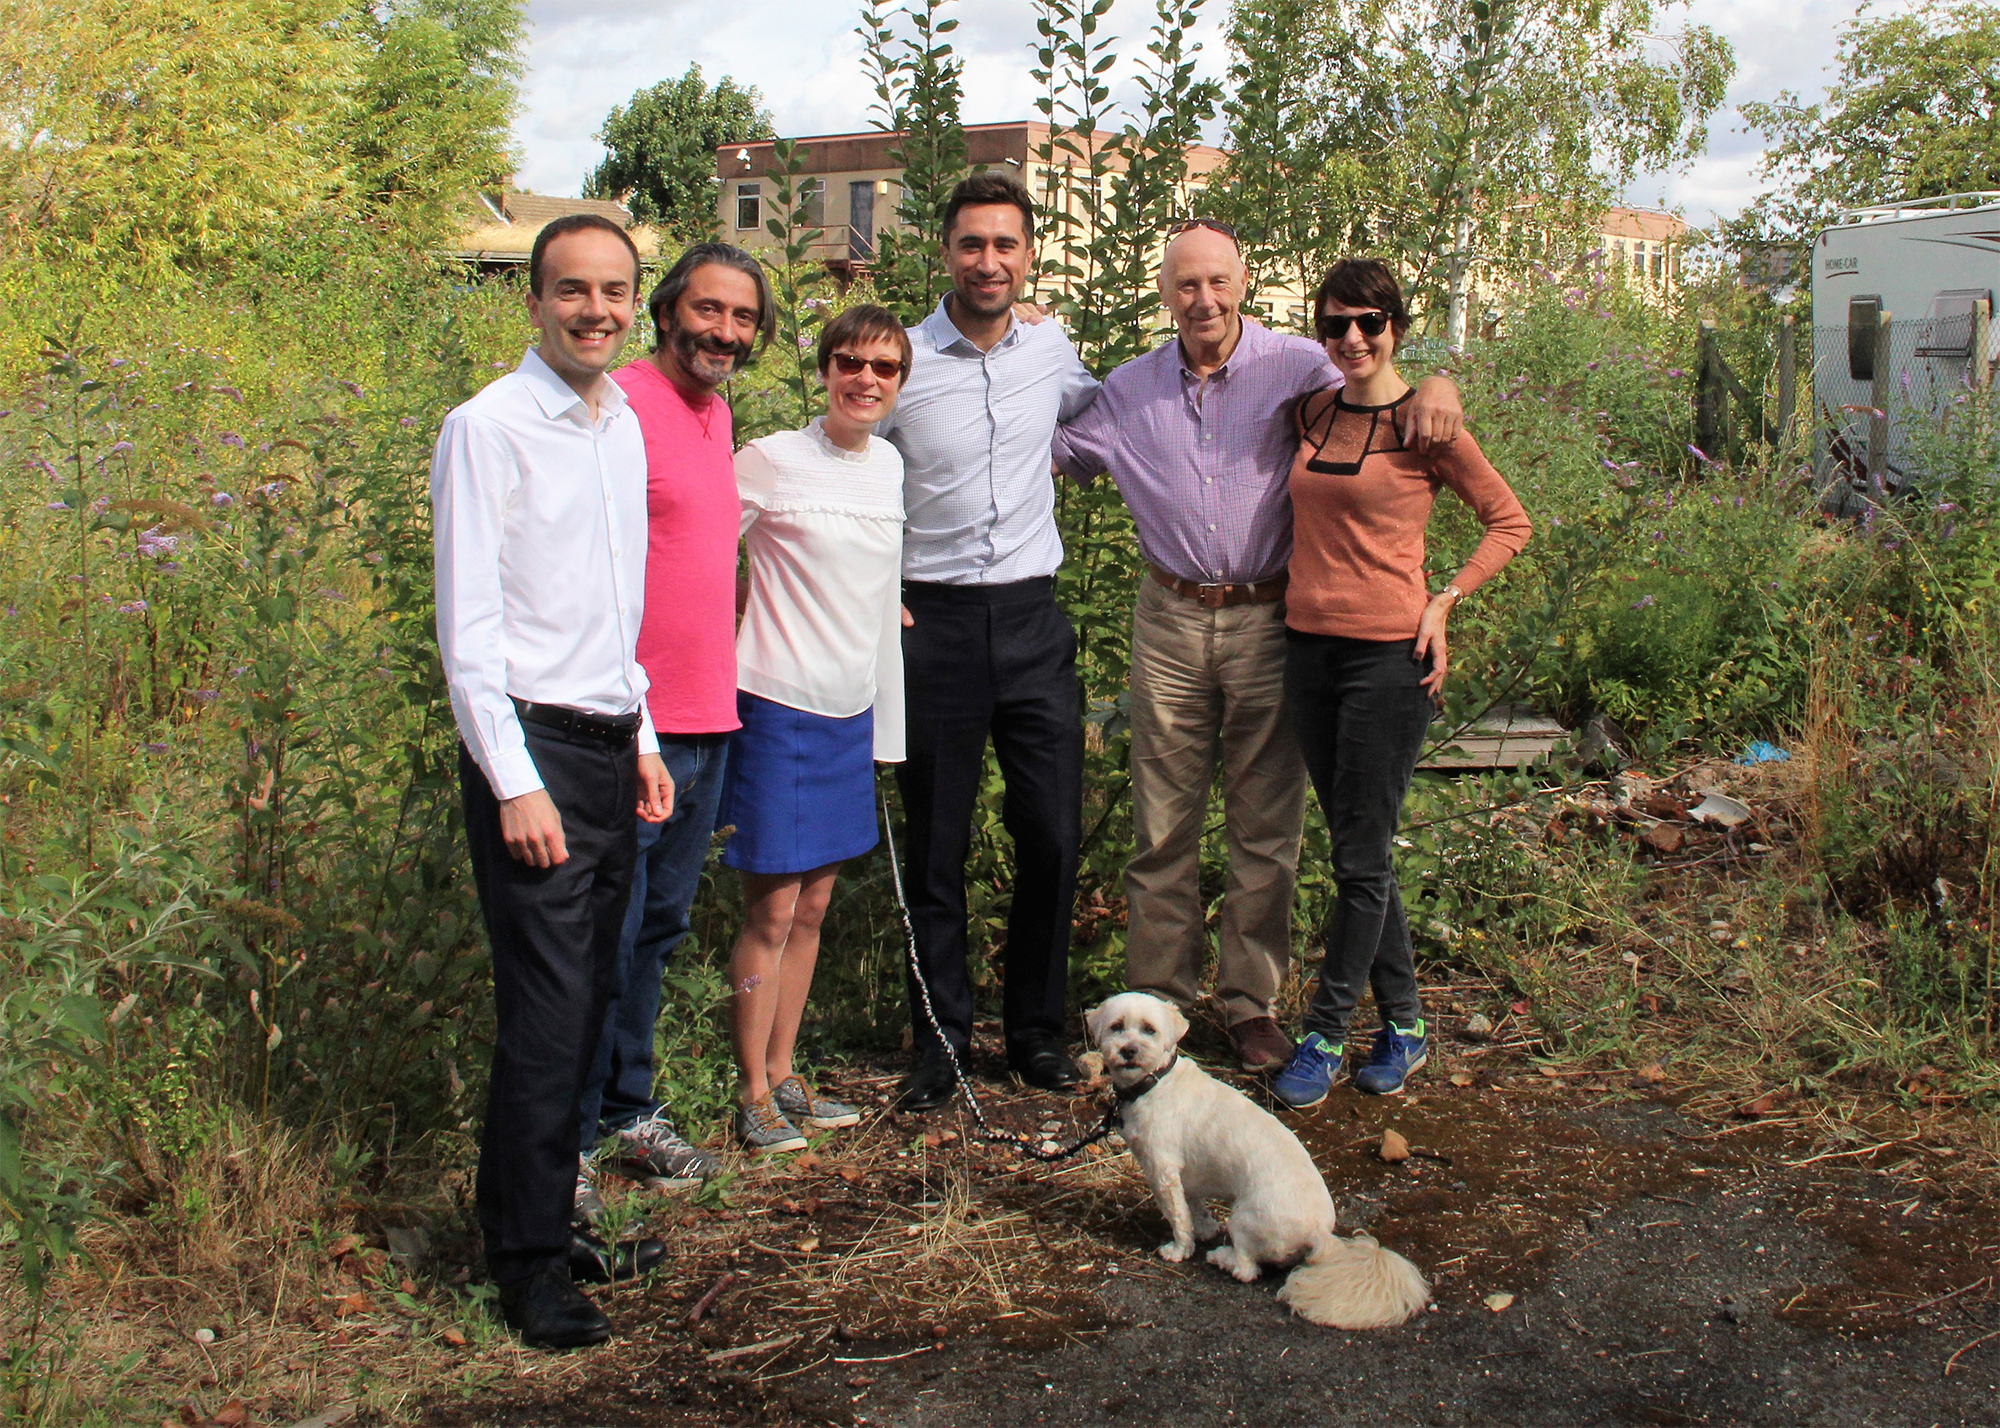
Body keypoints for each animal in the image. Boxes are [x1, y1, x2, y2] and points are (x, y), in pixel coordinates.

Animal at [1088, 992, 1432, 1320]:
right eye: (1116, 1026)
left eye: (1149, 1029)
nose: (1129, 1050)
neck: (1156, 1082)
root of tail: (1318, 1233)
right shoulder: (1186, 1176)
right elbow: (1194, 1206)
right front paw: (1205, 1228)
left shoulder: (1163, 1171)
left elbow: (1178, 1216)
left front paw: (1180, 1248)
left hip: (1244, 1220)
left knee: (1247, 1268)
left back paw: (1222, 1258)